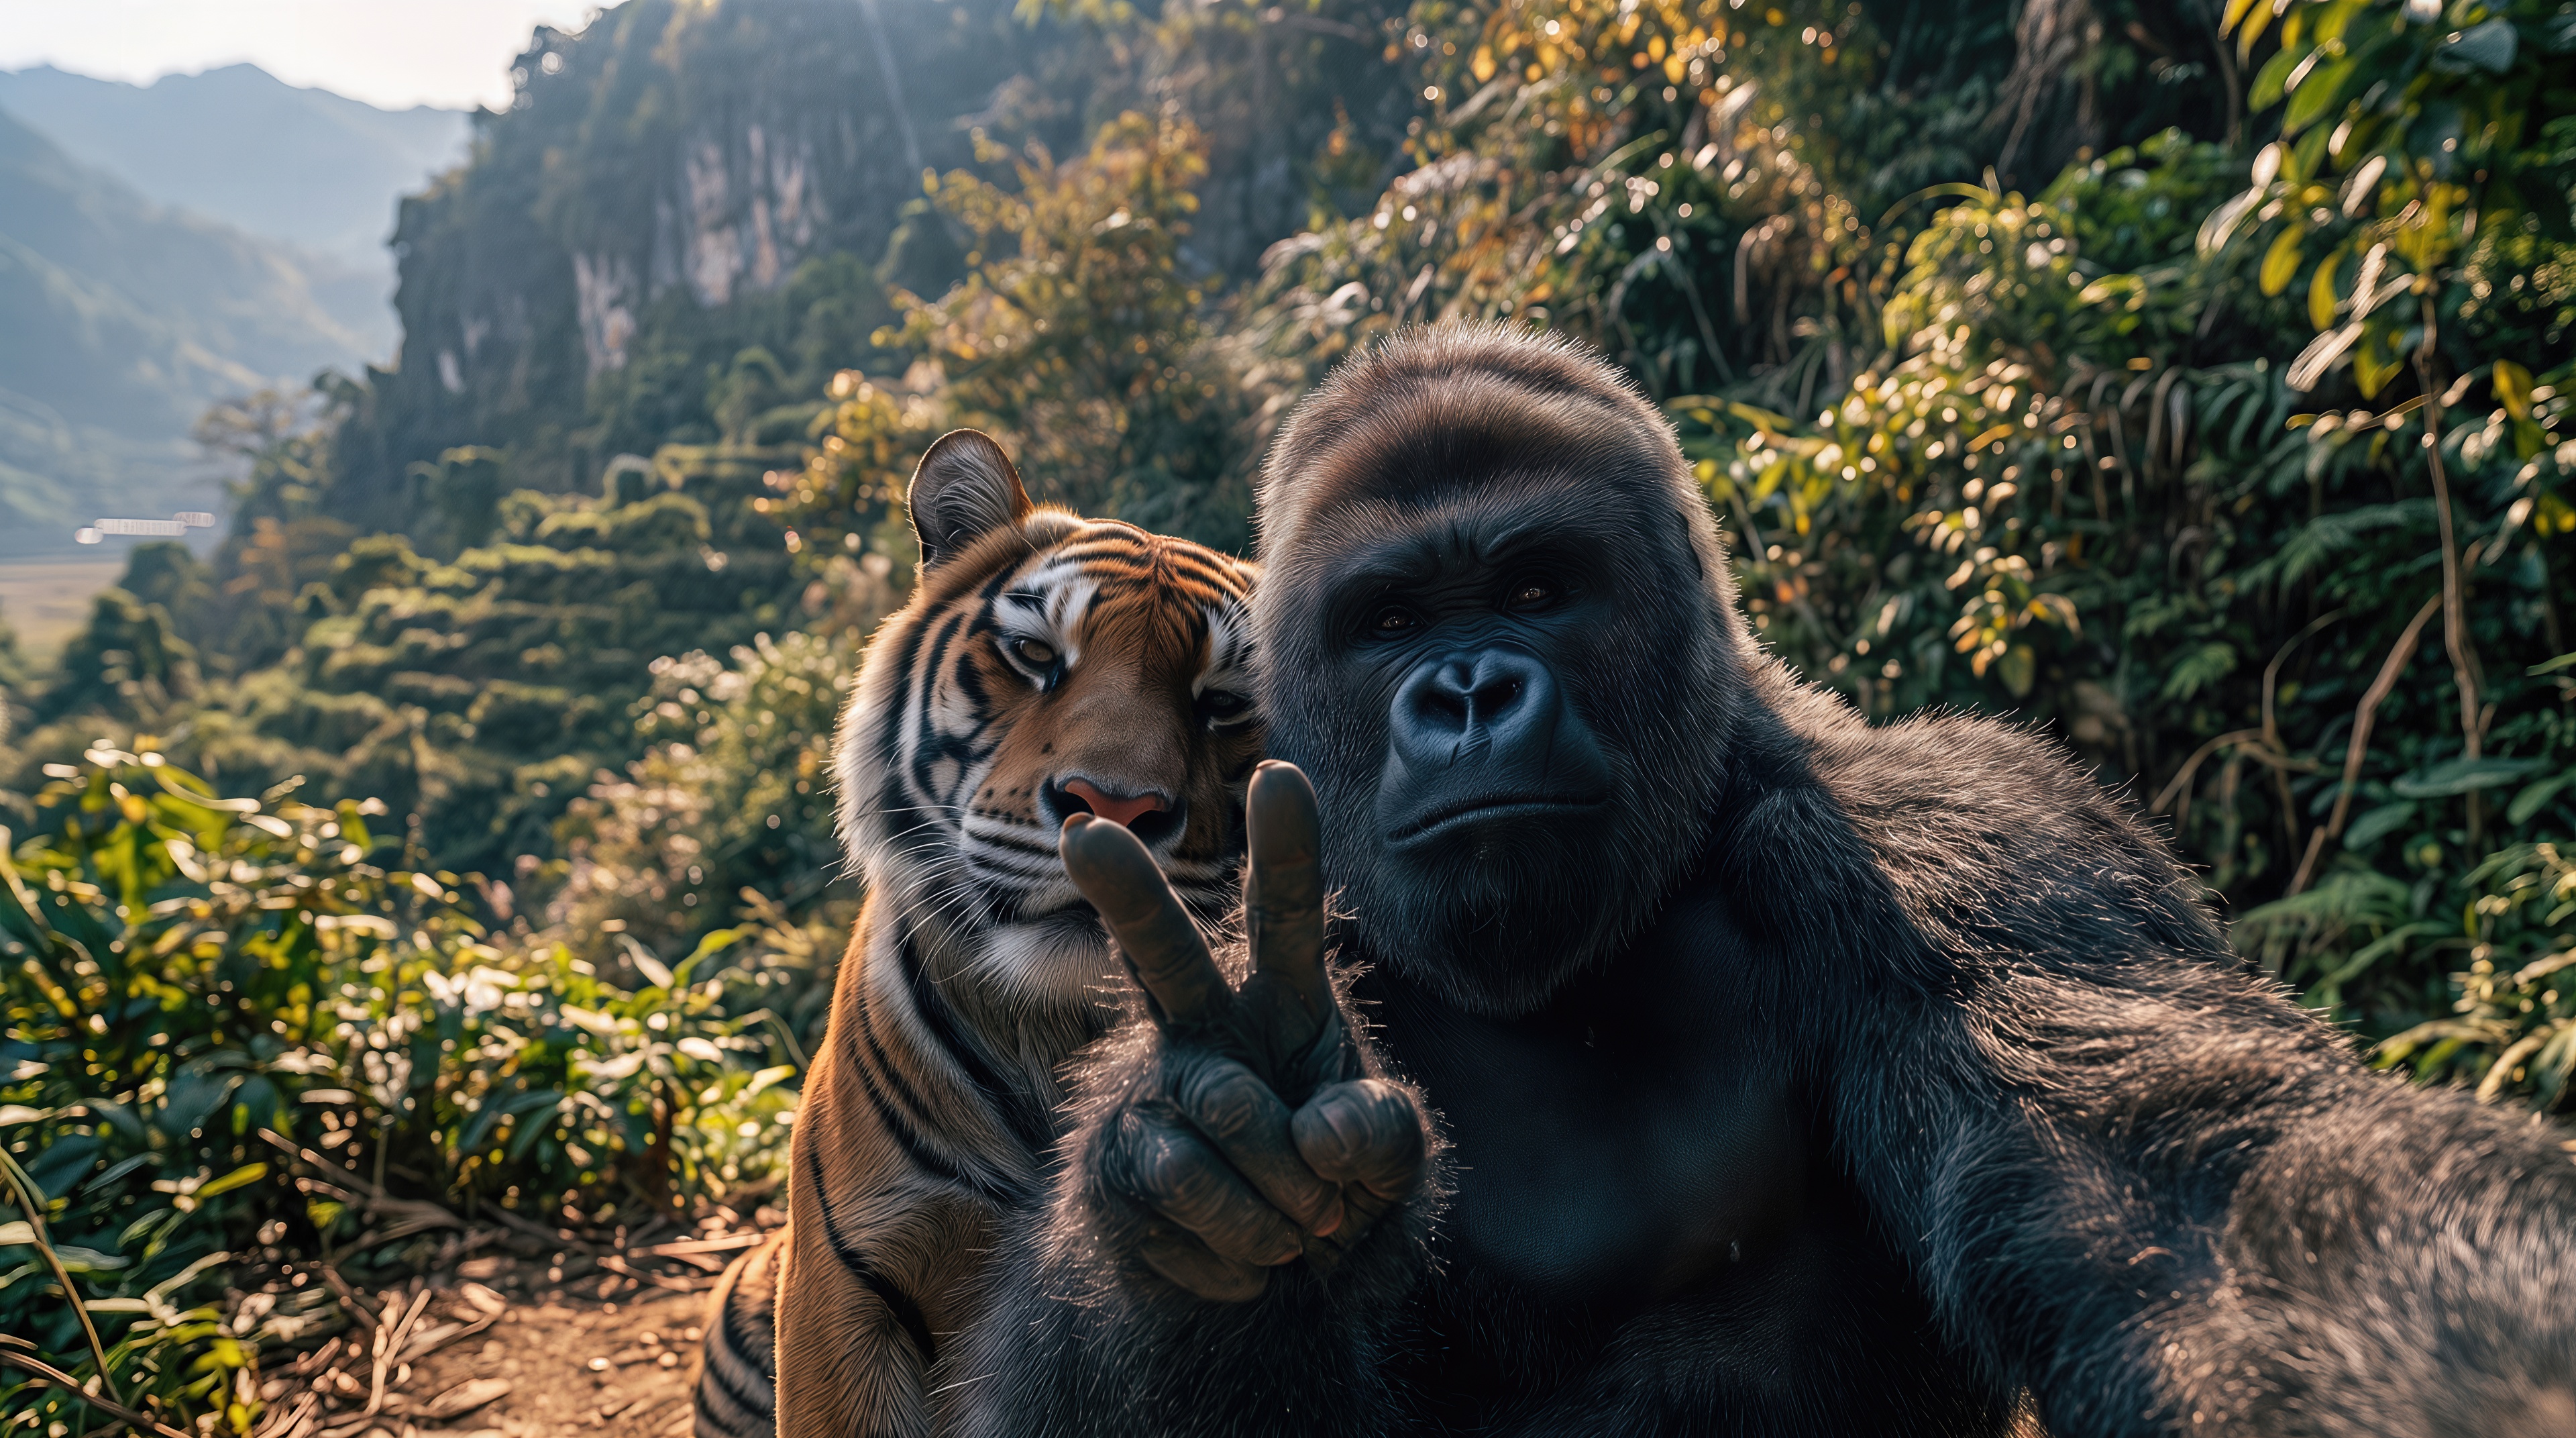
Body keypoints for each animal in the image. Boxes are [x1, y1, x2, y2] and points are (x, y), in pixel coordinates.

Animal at [941, 324, 2576, 1437]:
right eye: (1390, 618)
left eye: (1537, 587)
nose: (1466, 694)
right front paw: (1219, 1202)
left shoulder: (1961, 836)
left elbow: (2199, 1209)